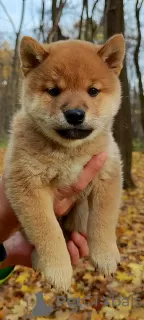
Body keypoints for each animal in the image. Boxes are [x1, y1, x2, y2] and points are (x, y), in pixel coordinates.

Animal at [4, 33, 125, 292]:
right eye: (53, 90)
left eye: (93, 90)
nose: (75, 114)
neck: (70, 153)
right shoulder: (26, 182)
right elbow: (47, 231)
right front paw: (57, 270)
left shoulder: (107, 170)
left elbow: (103, 220)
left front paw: (106, 256)